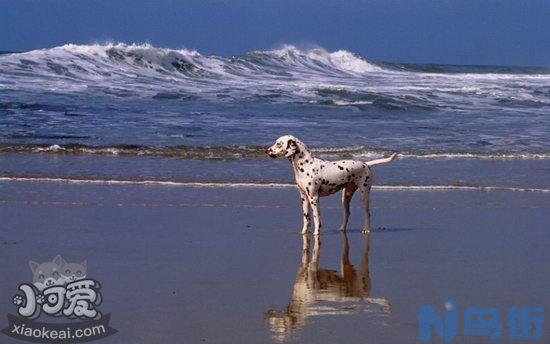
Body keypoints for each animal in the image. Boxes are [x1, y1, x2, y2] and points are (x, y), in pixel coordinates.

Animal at [266, 136, 396, 235]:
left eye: (278, 144)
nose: (267, 150)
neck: (306, 165)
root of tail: (366, 164)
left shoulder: (314, 198)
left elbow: (316, 218)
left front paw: (316, 233)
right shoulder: (304, 198)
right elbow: (306, 218)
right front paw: (303, 233)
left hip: (364, 196)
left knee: (368, 214)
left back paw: (366, 229)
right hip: (345, 197)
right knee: (347, 214)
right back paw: (342, 229)